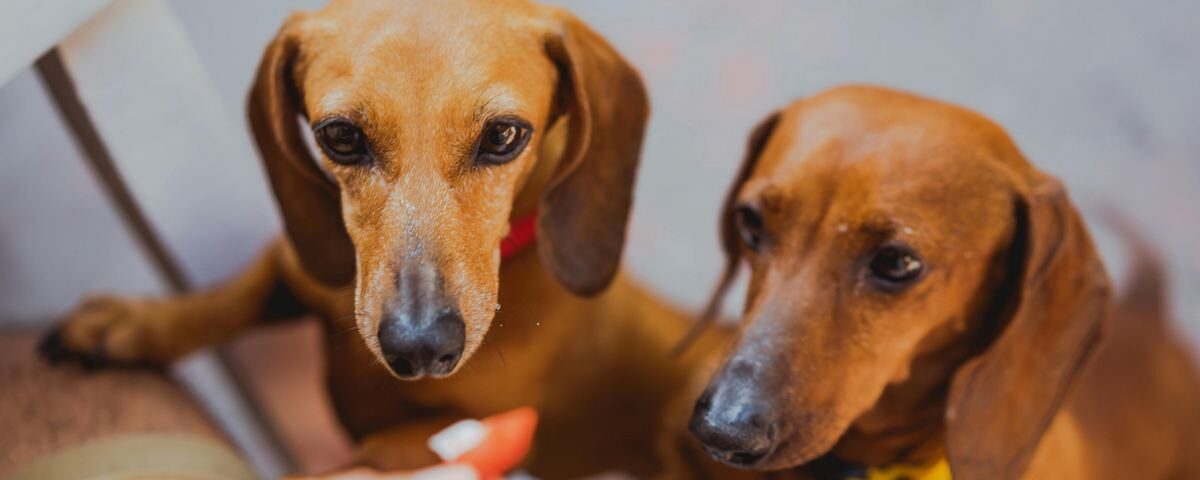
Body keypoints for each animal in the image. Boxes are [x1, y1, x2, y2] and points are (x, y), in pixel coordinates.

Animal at [37, 0, 724, 475]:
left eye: (504, 135)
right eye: (341, 136)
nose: (420, 349)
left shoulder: (466, 428)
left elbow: (376, 452)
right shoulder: (304, 267)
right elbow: (232, 297)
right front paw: (133, 324)